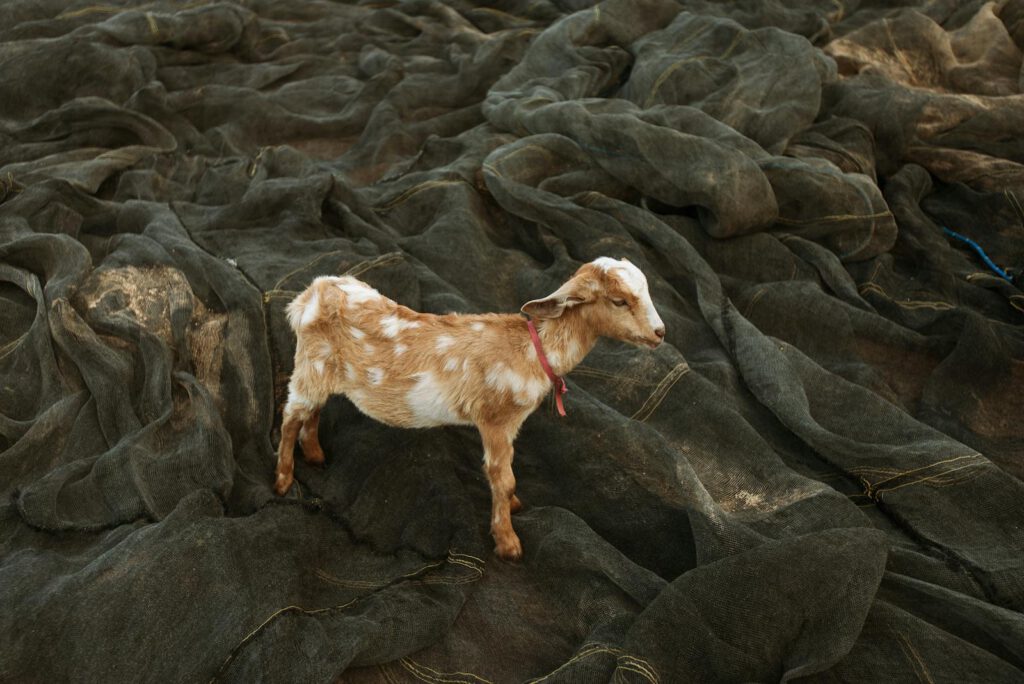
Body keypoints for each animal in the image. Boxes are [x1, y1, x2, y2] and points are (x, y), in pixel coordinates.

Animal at [274, 257, 666, 560]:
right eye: (619, 300)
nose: (660, 333)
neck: (532, 350)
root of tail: (310, 295)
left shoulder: (510, 424)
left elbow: (508, 477)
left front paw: (515, 508)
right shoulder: (495, 419)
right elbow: (501, 478)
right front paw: (508, 543)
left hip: (322, 372)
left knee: (313, 411)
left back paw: (315, 455)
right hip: (309, 367)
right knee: (290, 416)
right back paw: (283, 480)